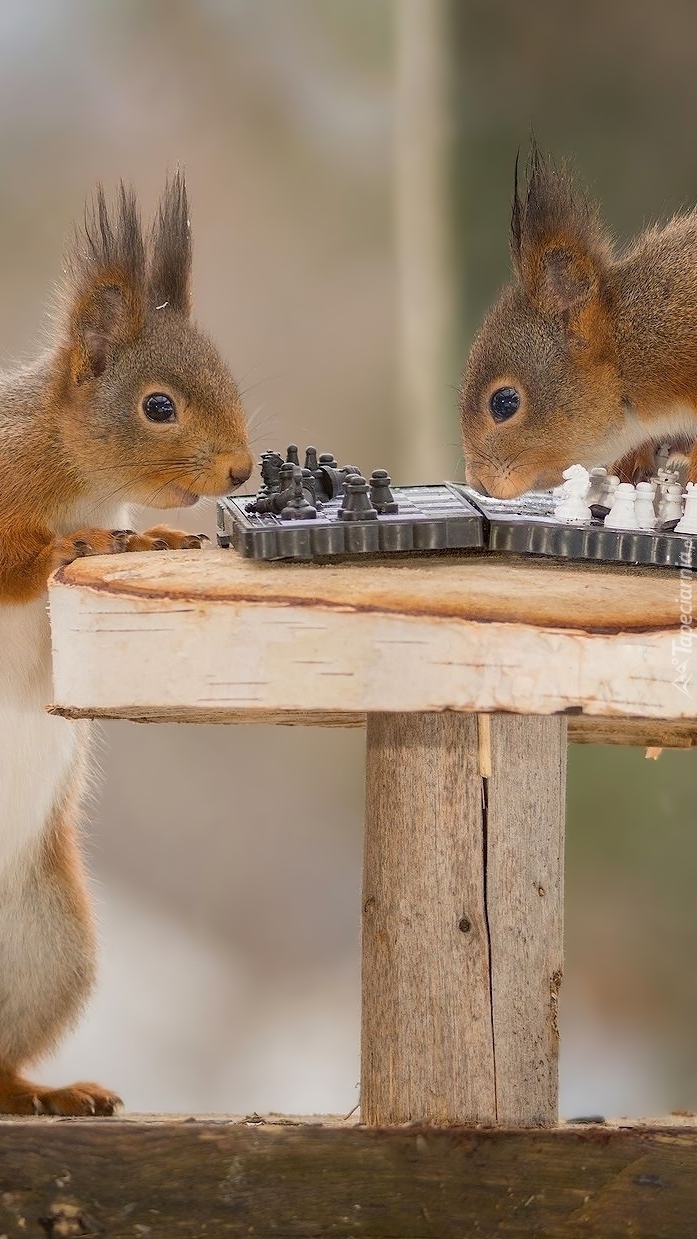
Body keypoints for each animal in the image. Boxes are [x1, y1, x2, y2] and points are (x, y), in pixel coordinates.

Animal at [0, 174, 253, 1115]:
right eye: (158, 406)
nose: (241, 469)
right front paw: (70, 545)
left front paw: (150, 540)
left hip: (48, 946)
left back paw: (51, 1092)